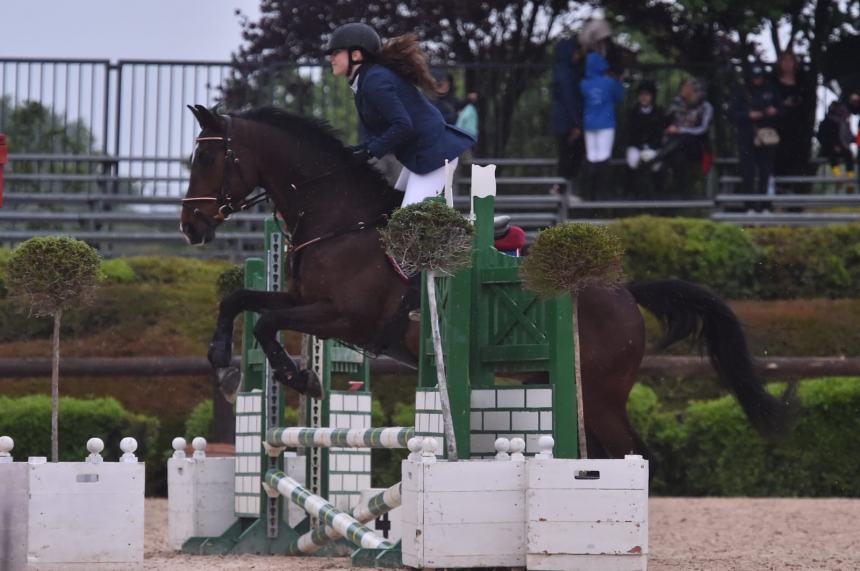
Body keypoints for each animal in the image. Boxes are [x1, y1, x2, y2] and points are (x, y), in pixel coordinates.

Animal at [180, 104, 792, 460]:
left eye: (208, 158)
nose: (191, 226)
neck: (338, 218)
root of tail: (622, 291)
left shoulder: (344, 316)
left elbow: (268, 322)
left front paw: (298, 377)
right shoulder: (305, 299)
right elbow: (241, 301)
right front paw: (223, 363)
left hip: (599, 393)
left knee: (632, 453)